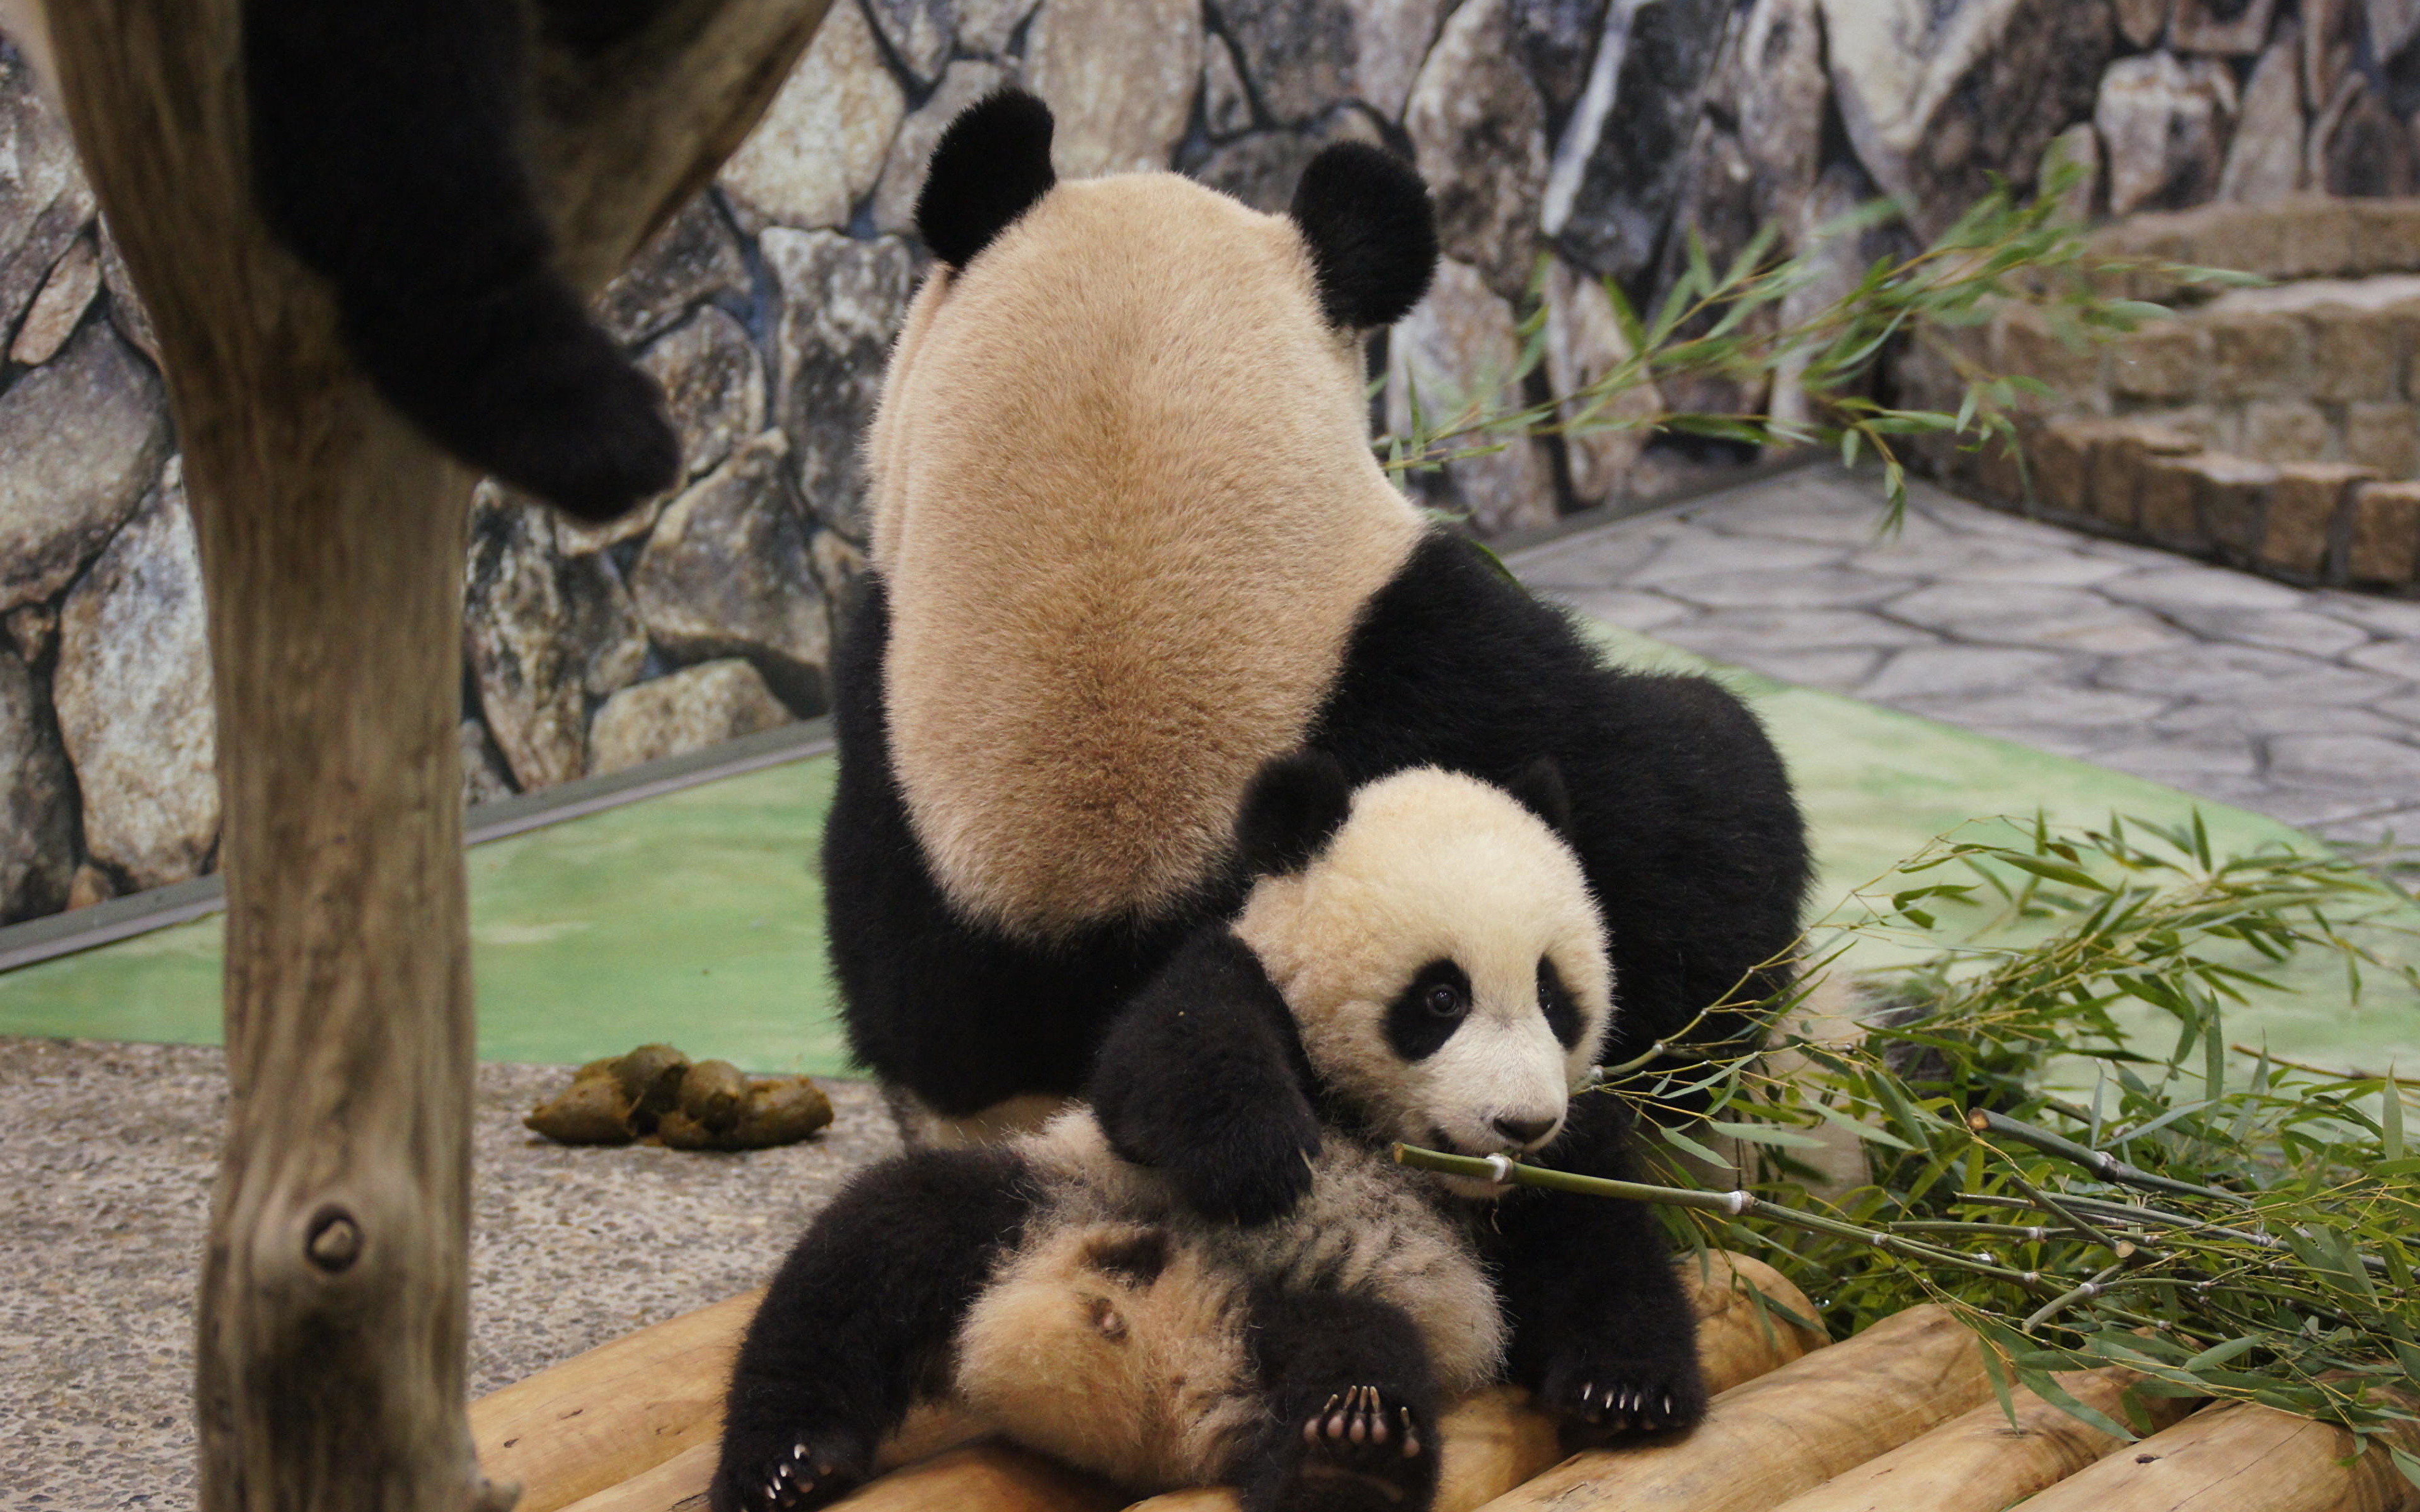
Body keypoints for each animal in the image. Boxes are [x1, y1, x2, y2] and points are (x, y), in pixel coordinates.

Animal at [716, 759, 1703, 1509]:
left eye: (1555, 998)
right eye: (1440, 998)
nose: (1520, 1123)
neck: (1371, 1129)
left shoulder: (1565, 1152)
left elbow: (1598, 1248)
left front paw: (1626, 1393)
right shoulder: (1222, 986)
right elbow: (1167, 1057)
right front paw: (1261, 1163)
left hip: (1350, 1300)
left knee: (1356, 1350)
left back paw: (1350, 1451)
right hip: (1051, 1195)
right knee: (874, 1248)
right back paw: (788, 1465)